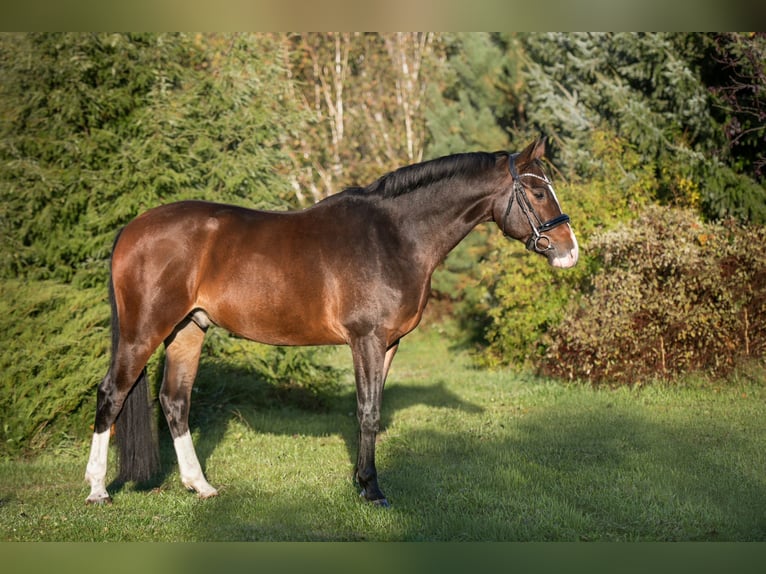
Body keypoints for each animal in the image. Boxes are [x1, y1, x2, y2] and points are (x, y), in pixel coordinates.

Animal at [84, 137, 578, 507]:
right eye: (538, 192)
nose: (570, 251)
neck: (395, 236)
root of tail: (133, 229)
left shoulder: (389, 344)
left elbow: (372, 412)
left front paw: (363, 481)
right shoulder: (367, 340)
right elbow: (367, 412)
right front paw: (373, 490)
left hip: (188, 329)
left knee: (174, 401)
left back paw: (199, 485)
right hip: (143, 332)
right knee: (111, 393)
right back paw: (97, 490)